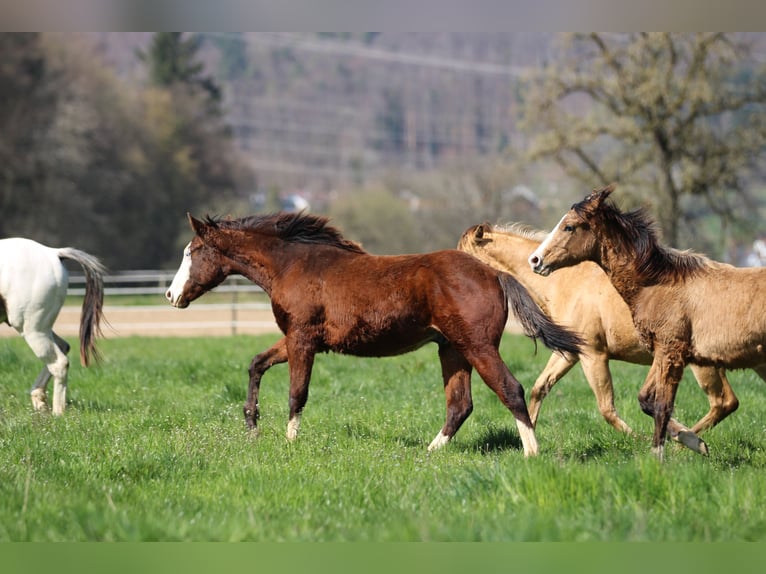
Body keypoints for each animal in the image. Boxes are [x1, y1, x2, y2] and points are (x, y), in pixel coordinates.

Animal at [0, 238, 106, 415]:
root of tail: (53, 253)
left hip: (32, 329)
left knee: (59, 363)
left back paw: (57, 413)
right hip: (43, 328)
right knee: (63, 347)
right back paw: (40, 401)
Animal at [165, 211, 583, 456]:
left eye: (191, 252)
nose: (171, 295)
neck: (292, 265)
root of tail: (494, 273)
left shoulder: (302, 339)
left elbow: (297, 394)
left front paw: (290, 443)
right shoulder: (297, 338)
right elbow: (256, 364)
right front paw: (252, 426)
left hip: (478, 346)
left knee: (510, 390)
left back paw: (531, 454)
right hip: (452, 349)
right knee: (460, 404)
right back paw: (430, 452)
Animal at [459, 222, 742, 455]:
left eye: (463, 255)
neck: (565, 281)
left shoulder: (593, 356)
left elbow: (607, 408)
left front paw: (640, 439)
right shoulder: (570, 353)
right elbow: (540, 388)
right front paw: (528, 440)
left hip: (701, 364)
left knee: (723, 402)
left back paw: (690, 442)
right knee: (727, 403)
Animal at [528, 184, 766, 459]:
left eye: (569, 226)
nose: (535, 260)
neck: (658, 284)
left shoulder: (672, 352)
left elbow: (662, 405)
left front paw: (662, 454)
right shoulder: (660, 351)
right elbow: (646, 399)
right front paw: (690, 441)